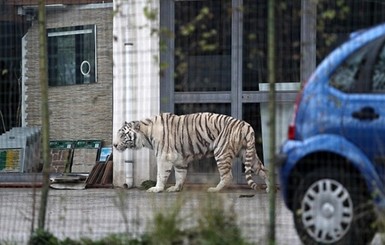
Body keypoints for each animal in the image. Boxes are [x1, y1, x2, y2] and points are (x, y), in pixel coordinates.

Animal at [112, 112, 268, 193]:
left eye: (122, 135)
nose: (114, 145)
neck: (146, 134)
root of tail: (245, 125)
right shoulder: (180, 160)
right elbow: (180, 175)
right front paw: (176, 188)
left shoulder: (163, 157)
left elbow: (161, 175)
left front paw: (157, 188)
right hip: (247, 154)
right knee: (264, 170)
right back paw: (269, 188)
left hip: (222, 152)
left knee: (228, 175)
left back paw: (215, 189)